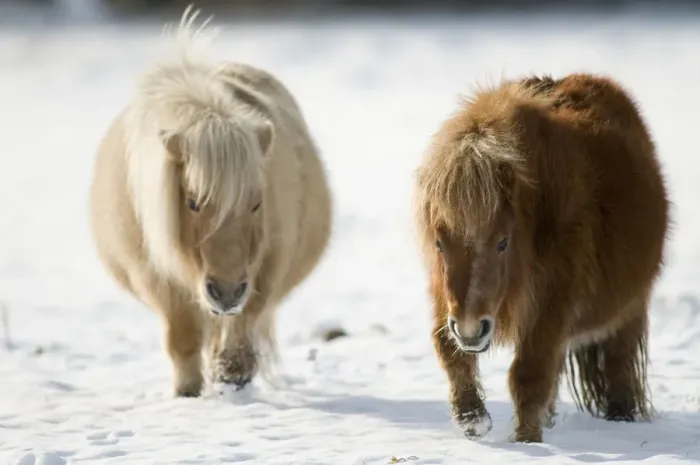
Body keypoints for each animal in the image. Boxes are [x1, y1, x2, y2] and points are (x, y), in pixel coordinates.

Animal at [88, 7, 333, 397]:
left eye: (256, 203)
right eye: (192, 202)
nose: (227, 291)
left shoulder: (268, 264)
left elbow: (245, 319)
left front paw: (233, 373)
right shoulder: (156, 277)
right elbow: (183, 337)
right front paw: (188, 392)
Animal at [414, 73, 669, 443]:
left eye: (503, 242)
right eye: (438, 242)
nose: (472, 330)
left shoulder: (551, 304)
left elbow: (529, 374)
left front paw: (527, 442)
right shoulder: (445, 298)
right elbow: (448, 349)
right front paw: (471, 417)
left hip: (628, 310)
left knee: (618, 366)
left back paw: (620, 418)